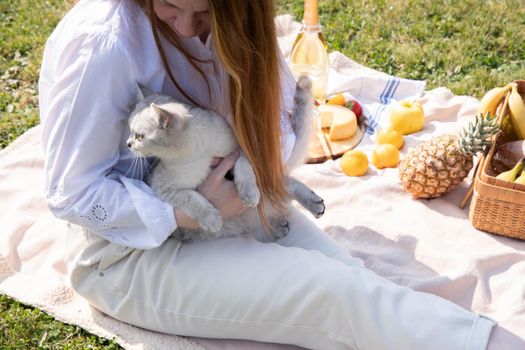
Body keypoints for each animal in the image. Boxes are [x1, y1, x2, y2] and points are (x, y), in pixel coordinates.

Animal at [127, 76, 324, 241]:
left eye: (139, 136)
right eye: (130, 131)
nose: (128, 144)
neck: (196, 153)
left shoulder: (241, 147)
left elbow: (243, 165)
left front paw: (249, 192)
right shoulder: (161, 185)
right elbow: (191, 200)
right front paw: (212, 219)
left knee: (285, 185)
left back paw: (313, 205)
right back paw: (280, 226)